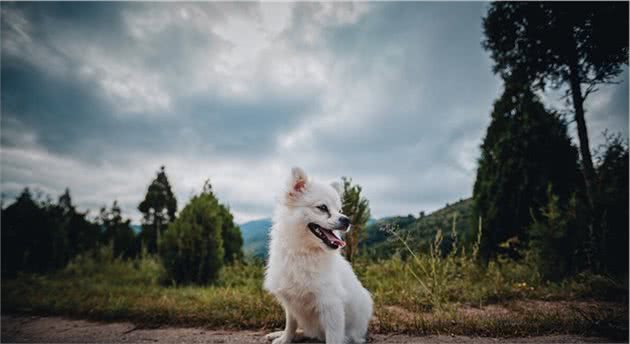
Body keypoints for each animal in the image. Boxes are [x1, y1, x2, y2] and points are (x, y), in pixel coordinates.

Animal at [262, 167, 372, 344]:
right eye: (322, 207)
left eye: (339, 210)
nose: (347, 220)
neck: (304, 252)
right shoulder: (291, 301)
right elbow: (290, 324)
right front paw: (285, 338)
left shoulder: (331, 305)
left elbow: (333, 337)